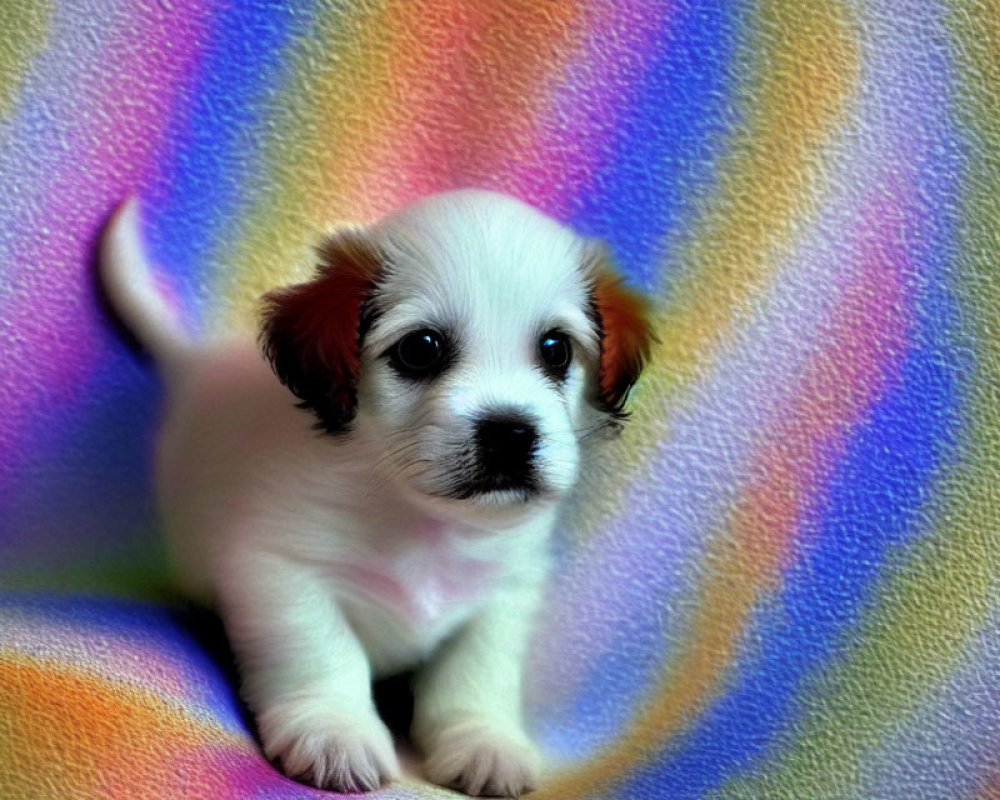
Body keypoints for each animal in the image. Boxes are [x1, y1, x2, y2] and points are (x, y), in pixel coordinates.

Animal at [99, 191, 648, 796]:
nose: (509, 432)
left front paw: (483, 739)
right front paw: (334, 728)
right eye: (421, 349)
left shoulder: (505, 593)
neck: (422, 524)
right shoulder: (279, 570)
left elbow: (477, 673)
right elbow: (323, 651)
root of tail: (197, 366)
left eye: (555, 349)